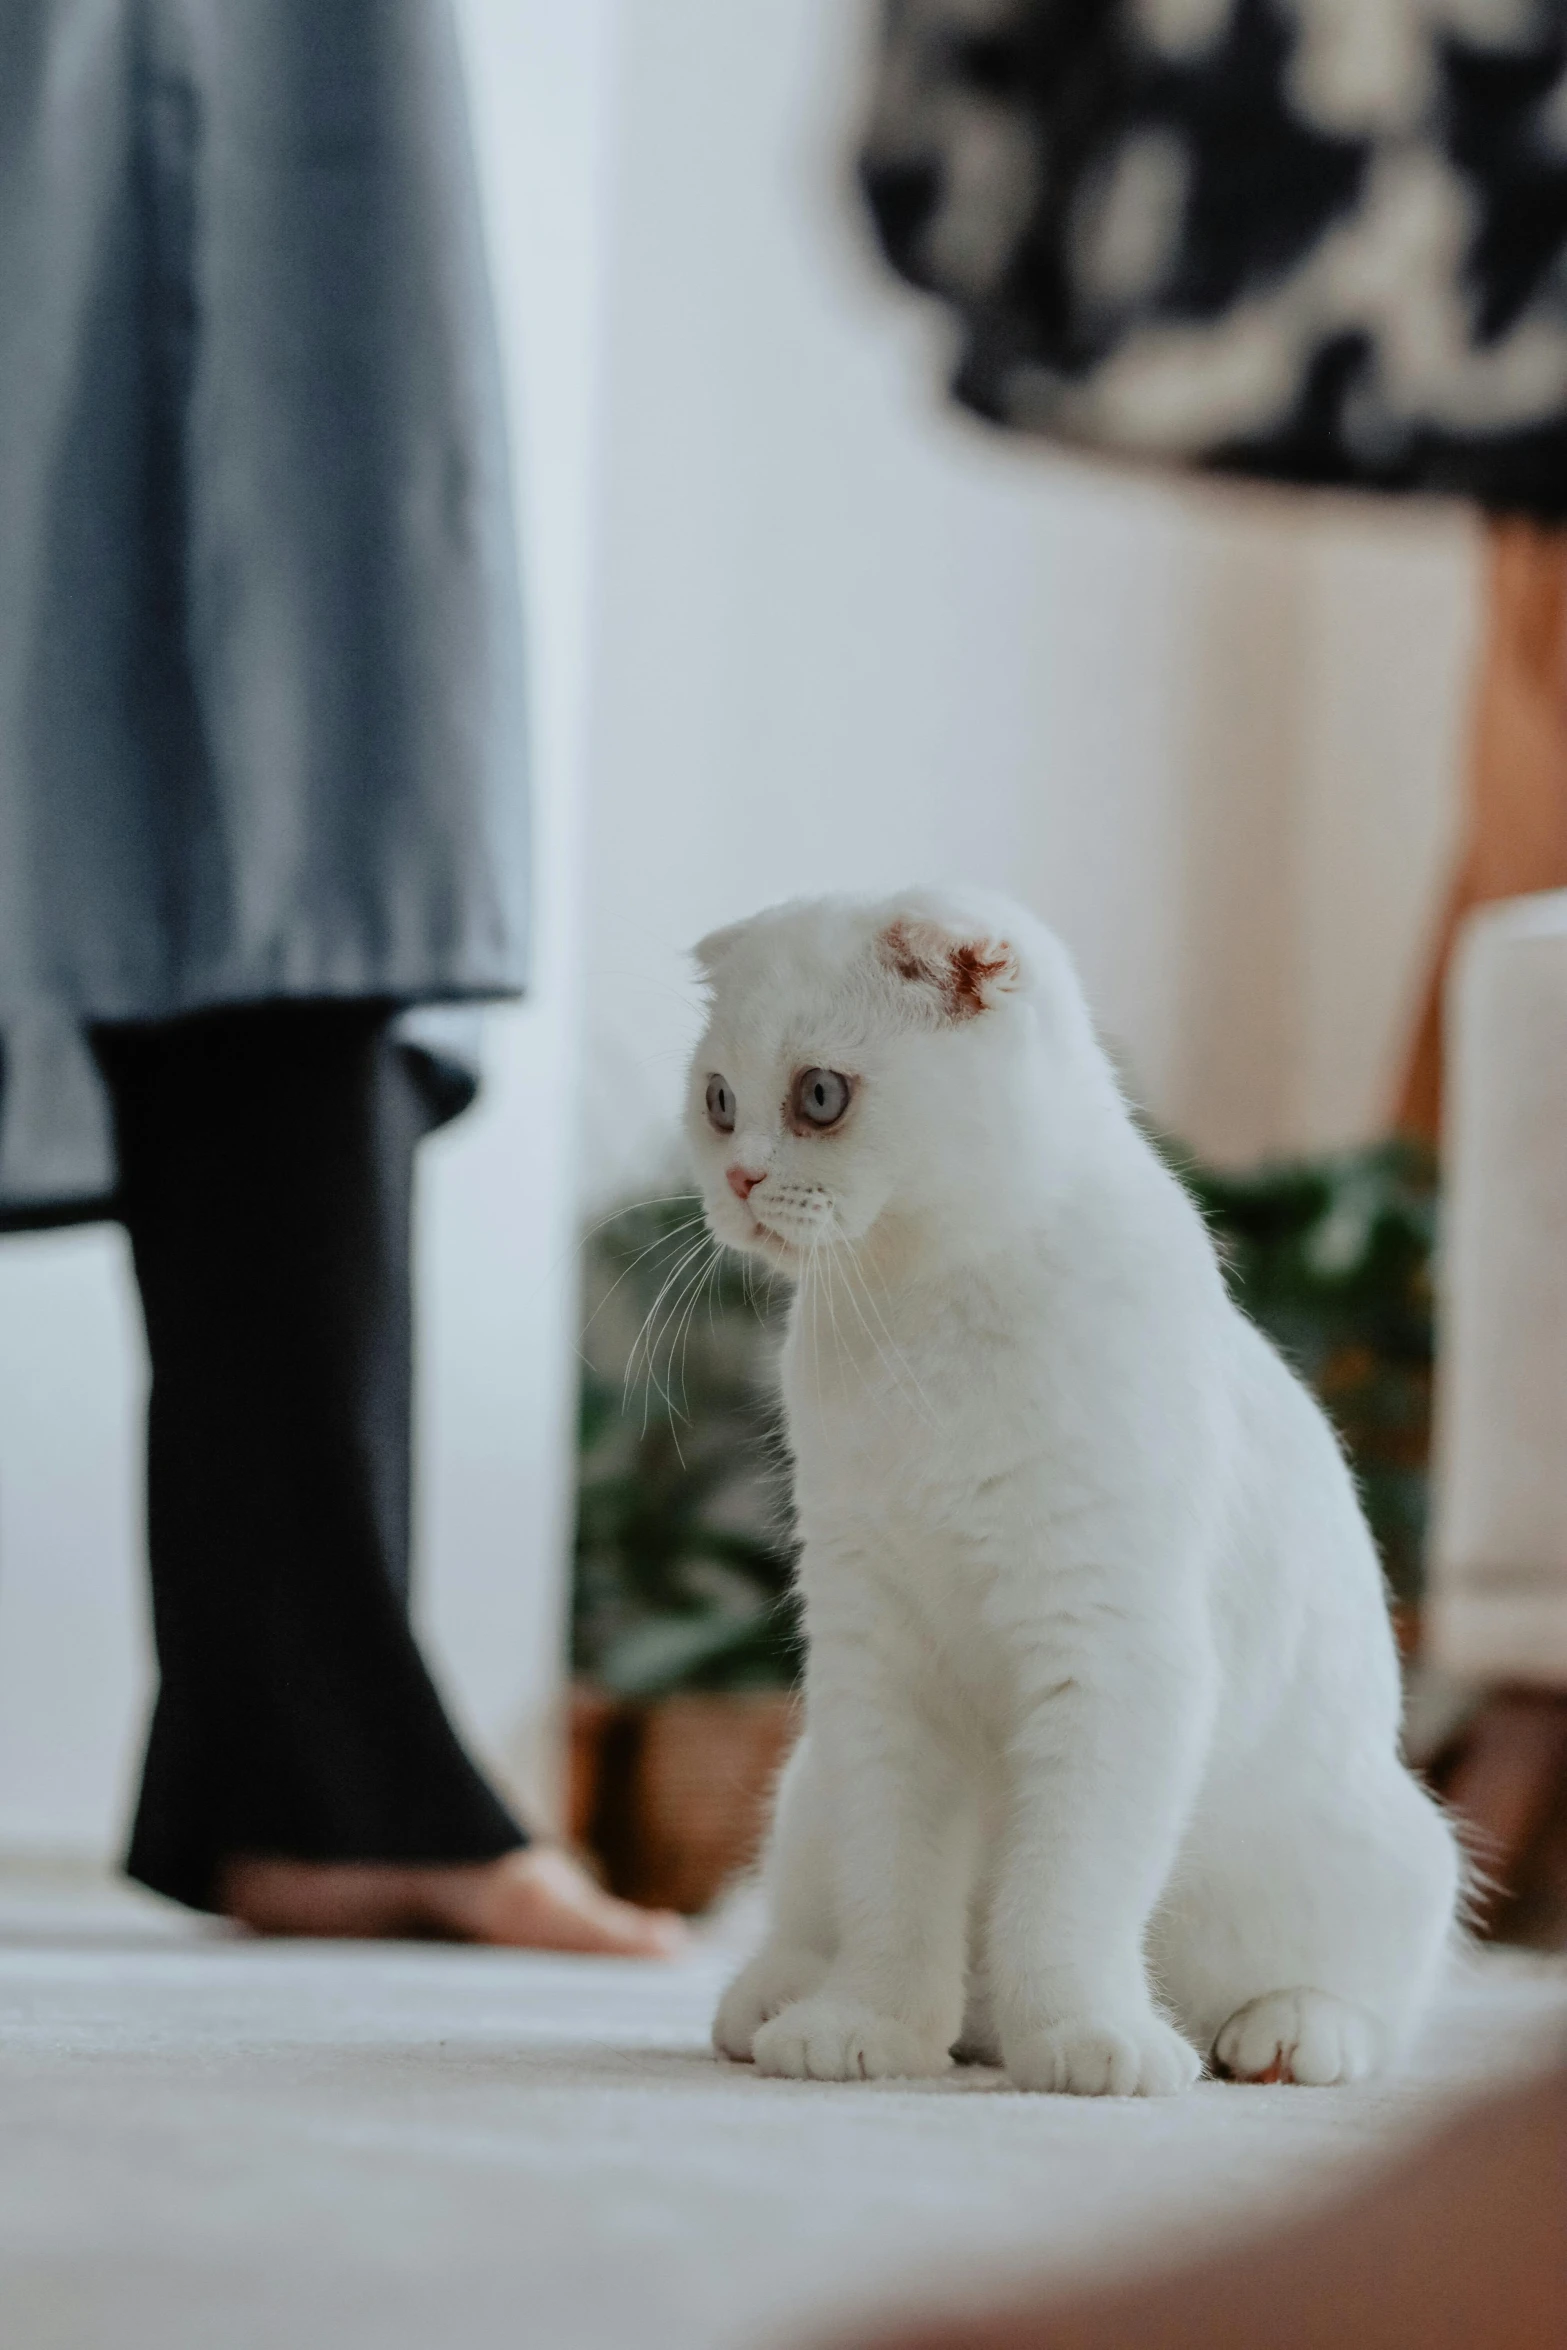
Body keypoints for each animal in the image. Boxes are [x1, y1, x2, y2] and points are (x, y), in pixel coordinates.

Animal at [686, 883, 1456, 2096]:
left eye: (817, 1096)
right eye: (718, 1101)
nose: (739, 1178)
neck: (920, 1317)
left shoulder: (1109, 1655)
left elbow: (1063, 1897)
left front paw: (1088, 2041)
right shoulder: (879, 1669)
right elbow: (894, 1896)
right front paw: (866, 2030)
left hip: (1389, 1847)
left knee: (1364, 2006)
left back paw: (1278, 2038)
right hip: (810, 1786)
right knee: (830, 1927)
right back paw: (784, 2001)